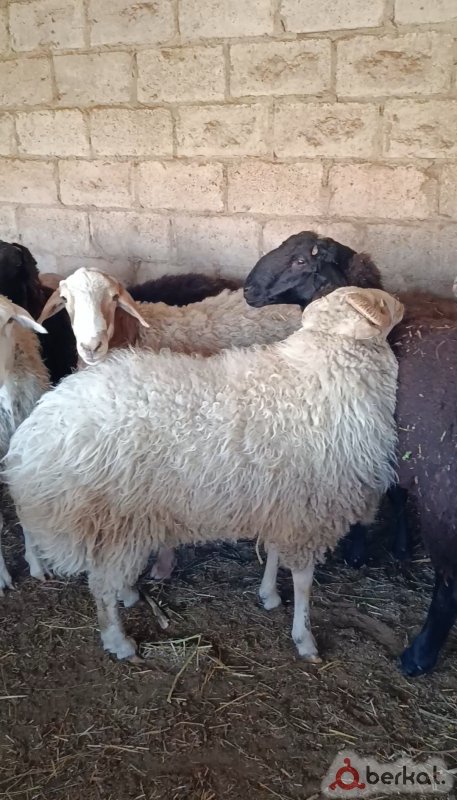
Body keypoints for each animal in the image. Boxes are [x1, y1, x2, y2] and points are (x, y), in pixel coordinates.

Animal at [4, 286, 403, 661]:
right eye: (381, 305)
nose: (403, 306)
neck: (324, 373)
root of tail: (37, 428)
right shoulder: (311, 509)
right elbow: (304, 583)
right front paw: (304, 638)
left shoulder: (282, 499)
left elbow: (274, 551)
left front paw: (269, 594)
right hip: (117, 521)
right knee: (101, 588)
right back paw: (120, 641)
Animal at [244, 229, 457, 675]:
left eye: (300, 261)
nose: (248, 290)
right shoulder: (386, 450)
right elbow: (393, 494)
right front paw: (396, 546)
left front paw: (357, 552)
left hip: (443, 497)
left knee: (448, 586)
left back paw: (418, 656)